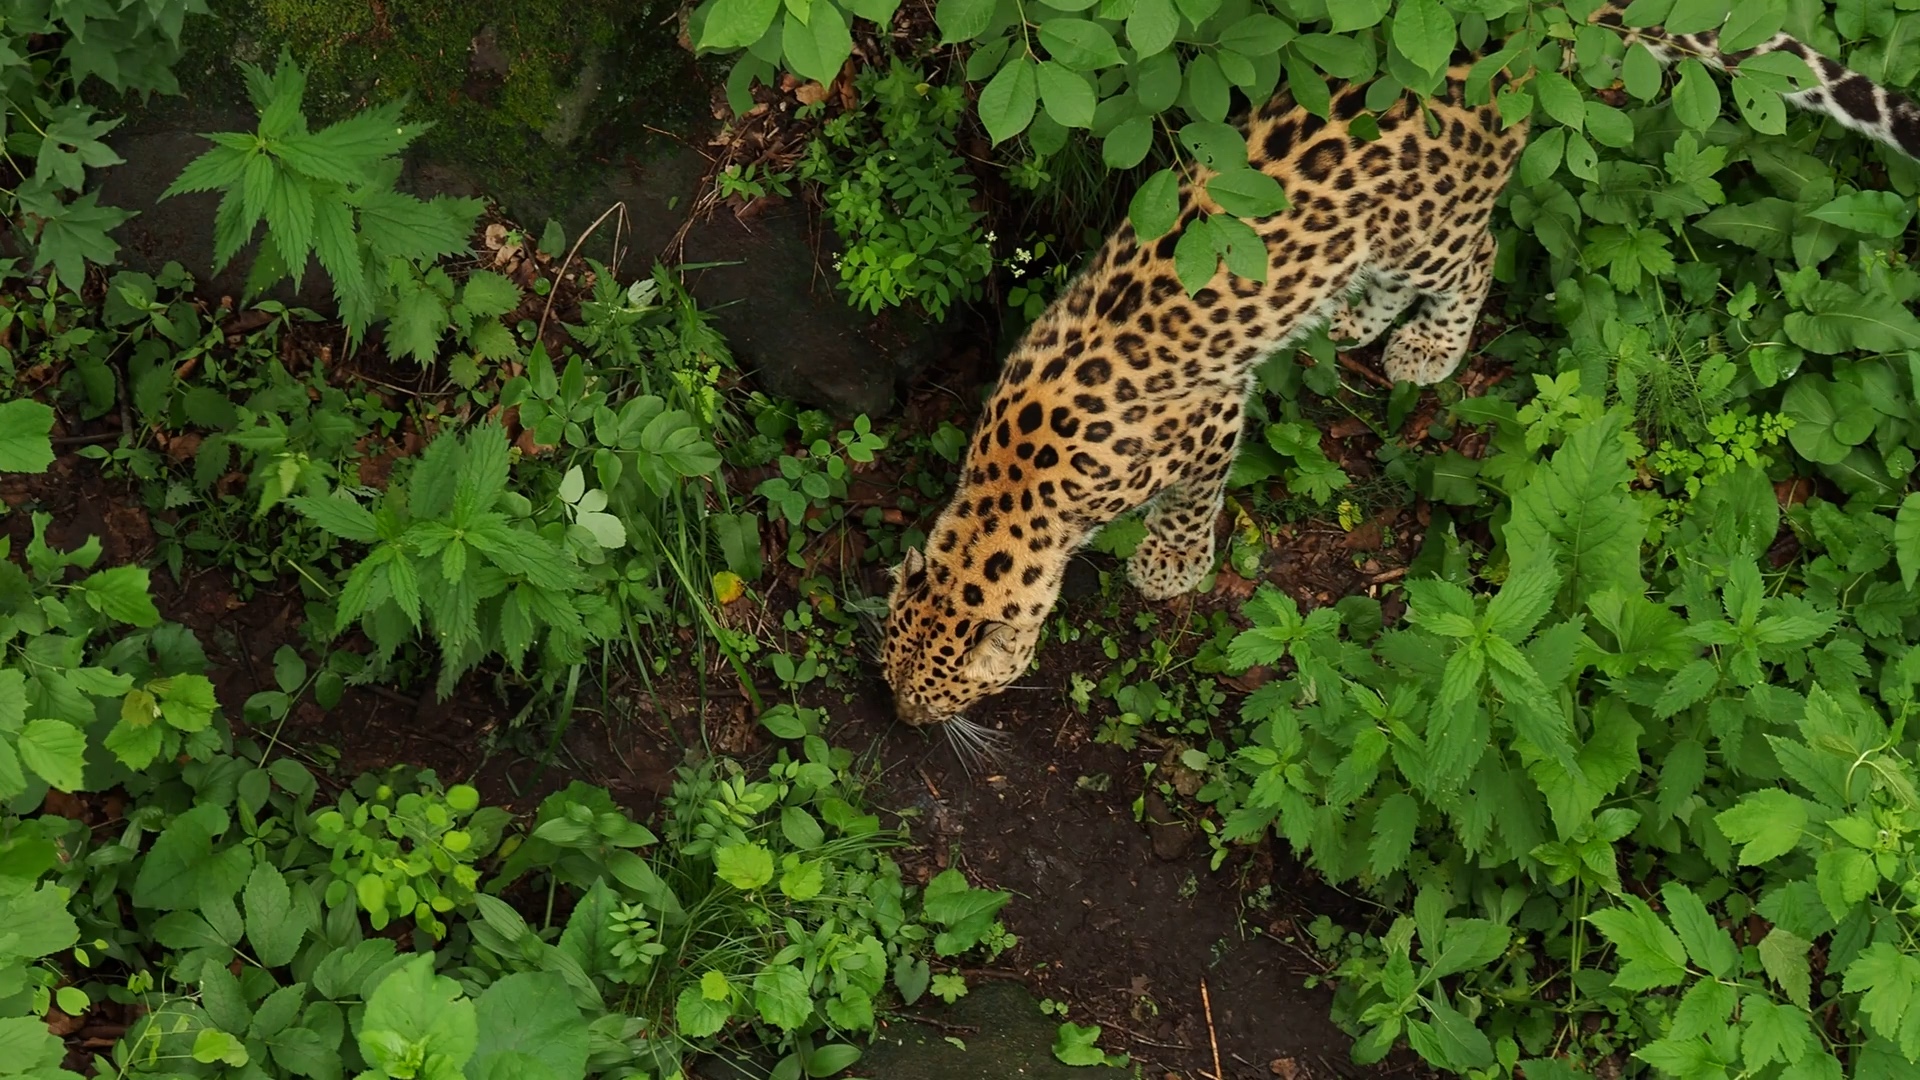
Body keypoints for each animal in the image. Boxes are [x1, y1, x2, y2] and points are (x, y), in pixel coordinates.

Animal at [883, 4, 1920, 731]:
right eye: (894, 668)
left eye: (942, 697)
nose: (902, 718)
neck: (1013, 489)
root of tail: (1501, 51)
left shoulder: (1208, 421)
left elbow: (1193, 499)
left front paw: (1168, 567)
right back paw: (1353, 317)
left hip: (1430, 230)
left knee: (1480, 256)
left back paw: (1427, 347)